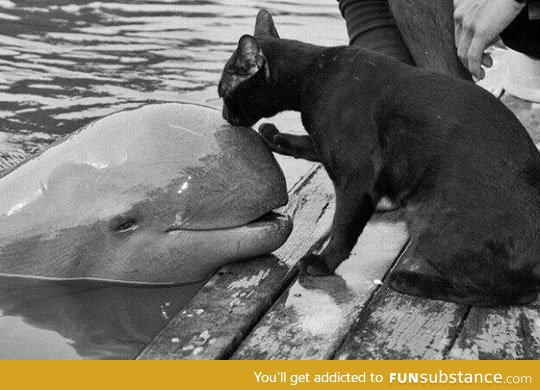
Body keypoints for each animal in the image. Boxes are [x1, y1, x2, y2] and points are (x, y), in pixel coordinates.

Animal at [217, 9, 540, 308]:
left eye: (223, 92)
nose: (224, 115)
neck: (312, 73)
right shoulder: (328, 146)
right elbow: (306, 145)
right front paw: (272, 135)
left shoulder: (356, 175)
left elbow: (343, 227)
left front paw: (323, 263)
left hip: (429, 217)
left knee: (500, 292)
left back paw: (407, 280)